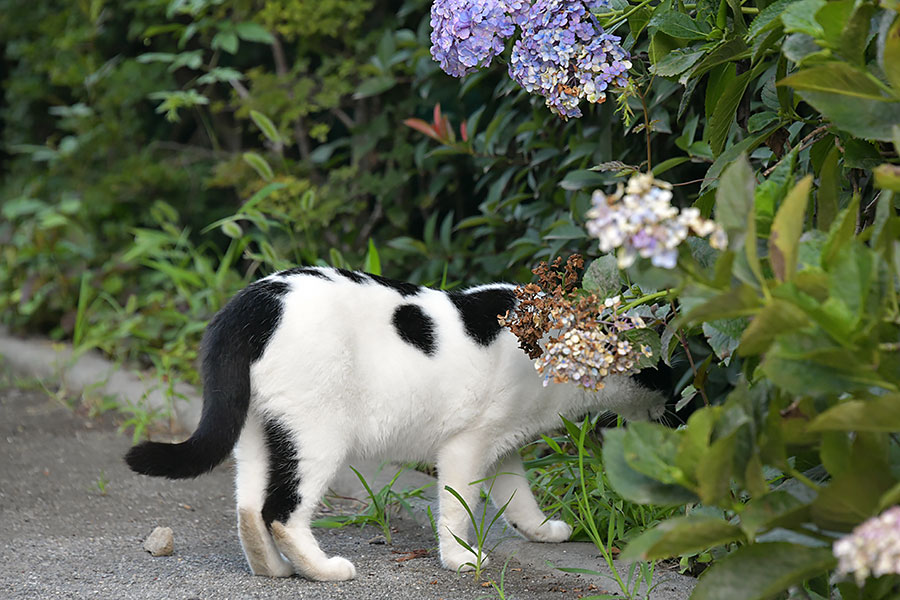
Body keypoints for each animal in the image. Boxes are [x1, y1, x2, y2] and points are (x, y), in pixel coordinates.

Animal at [123, 266, 664, 580]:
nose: (674, 410)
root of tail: (255, 298)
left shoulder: (503, 445)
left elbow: (518, 501)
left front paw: (544, 532)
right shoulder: (466, 446)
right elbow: (457, 507)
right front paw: (461, 559)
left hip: (262, 433)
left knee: (248, 507)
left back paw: (273, 569)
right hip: (317, 435)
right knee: (281, 511)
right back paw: (324, 570)